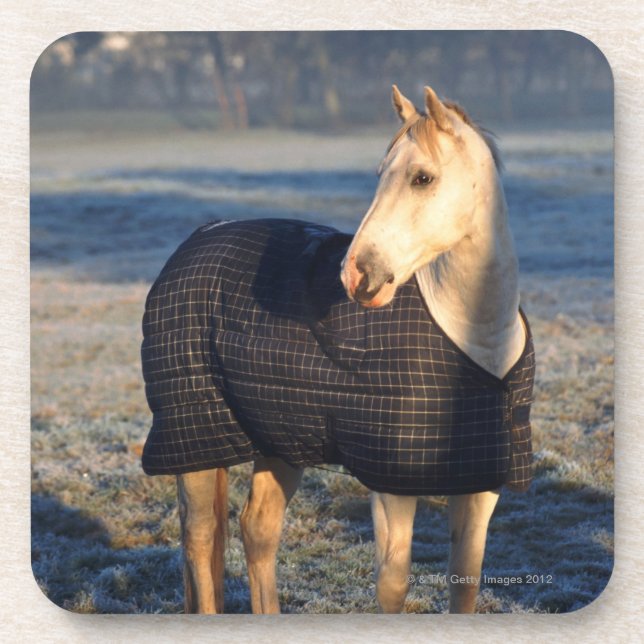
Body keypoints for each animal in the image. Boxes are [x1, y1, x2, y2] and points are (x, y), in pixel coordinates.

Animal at [141, 84, 533, 614]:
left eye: (422, 177)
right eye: (380, 173)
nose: (356, 274)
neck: (475, 338)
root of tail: (200, 238)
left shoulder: (481, 479)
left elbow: (465, 581)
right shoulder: (391, 484)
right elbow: (393, 584)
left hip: (281, 438)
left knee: (257, 529)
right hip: (196, 442)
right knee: (201, 541)